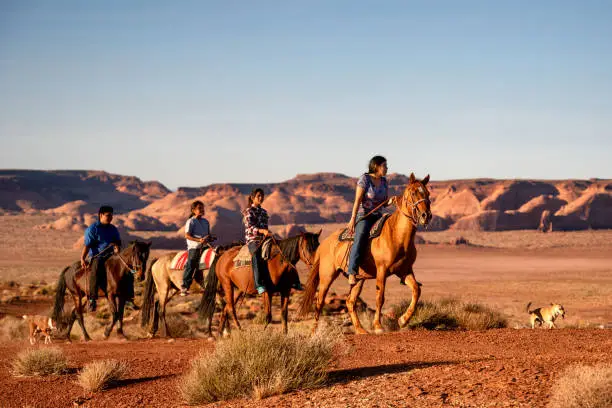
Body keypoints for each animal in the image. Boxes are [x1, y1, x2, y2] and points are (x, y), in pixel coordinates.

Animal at [298, 174, 432, 334]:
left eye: (428, 193)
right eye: (413, 193)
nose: (426, 215)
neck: (397, 235)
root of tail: (324, 244)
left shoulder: (404, 271)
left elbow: (416, 290)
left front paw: (403, 320)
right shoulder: (382, 270)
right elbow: (380, 297)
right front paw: (378, 326)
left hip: (358, 279)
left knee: (350, 301)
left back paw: (360, 329)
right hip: (327, 276)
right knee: (319, 301)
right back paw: (314, 332)